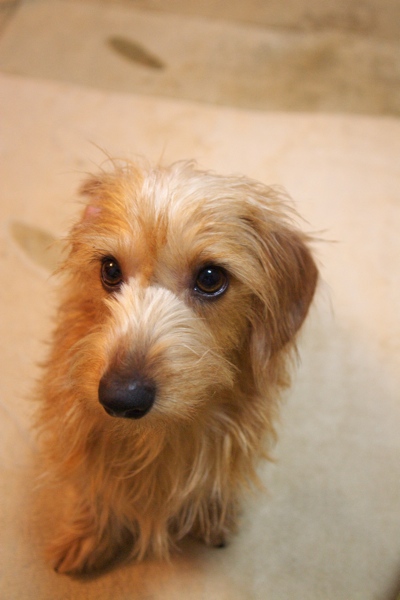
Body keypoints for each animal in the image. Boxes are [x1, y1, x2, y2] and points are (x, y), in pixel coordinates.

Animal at [37, 159, 318, 574]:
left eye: (211, 278)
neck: (161, 436)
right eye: (109, 270)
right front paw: (91, 532)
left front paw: (212, 514)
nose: (120, 399)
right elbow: (95, 481)